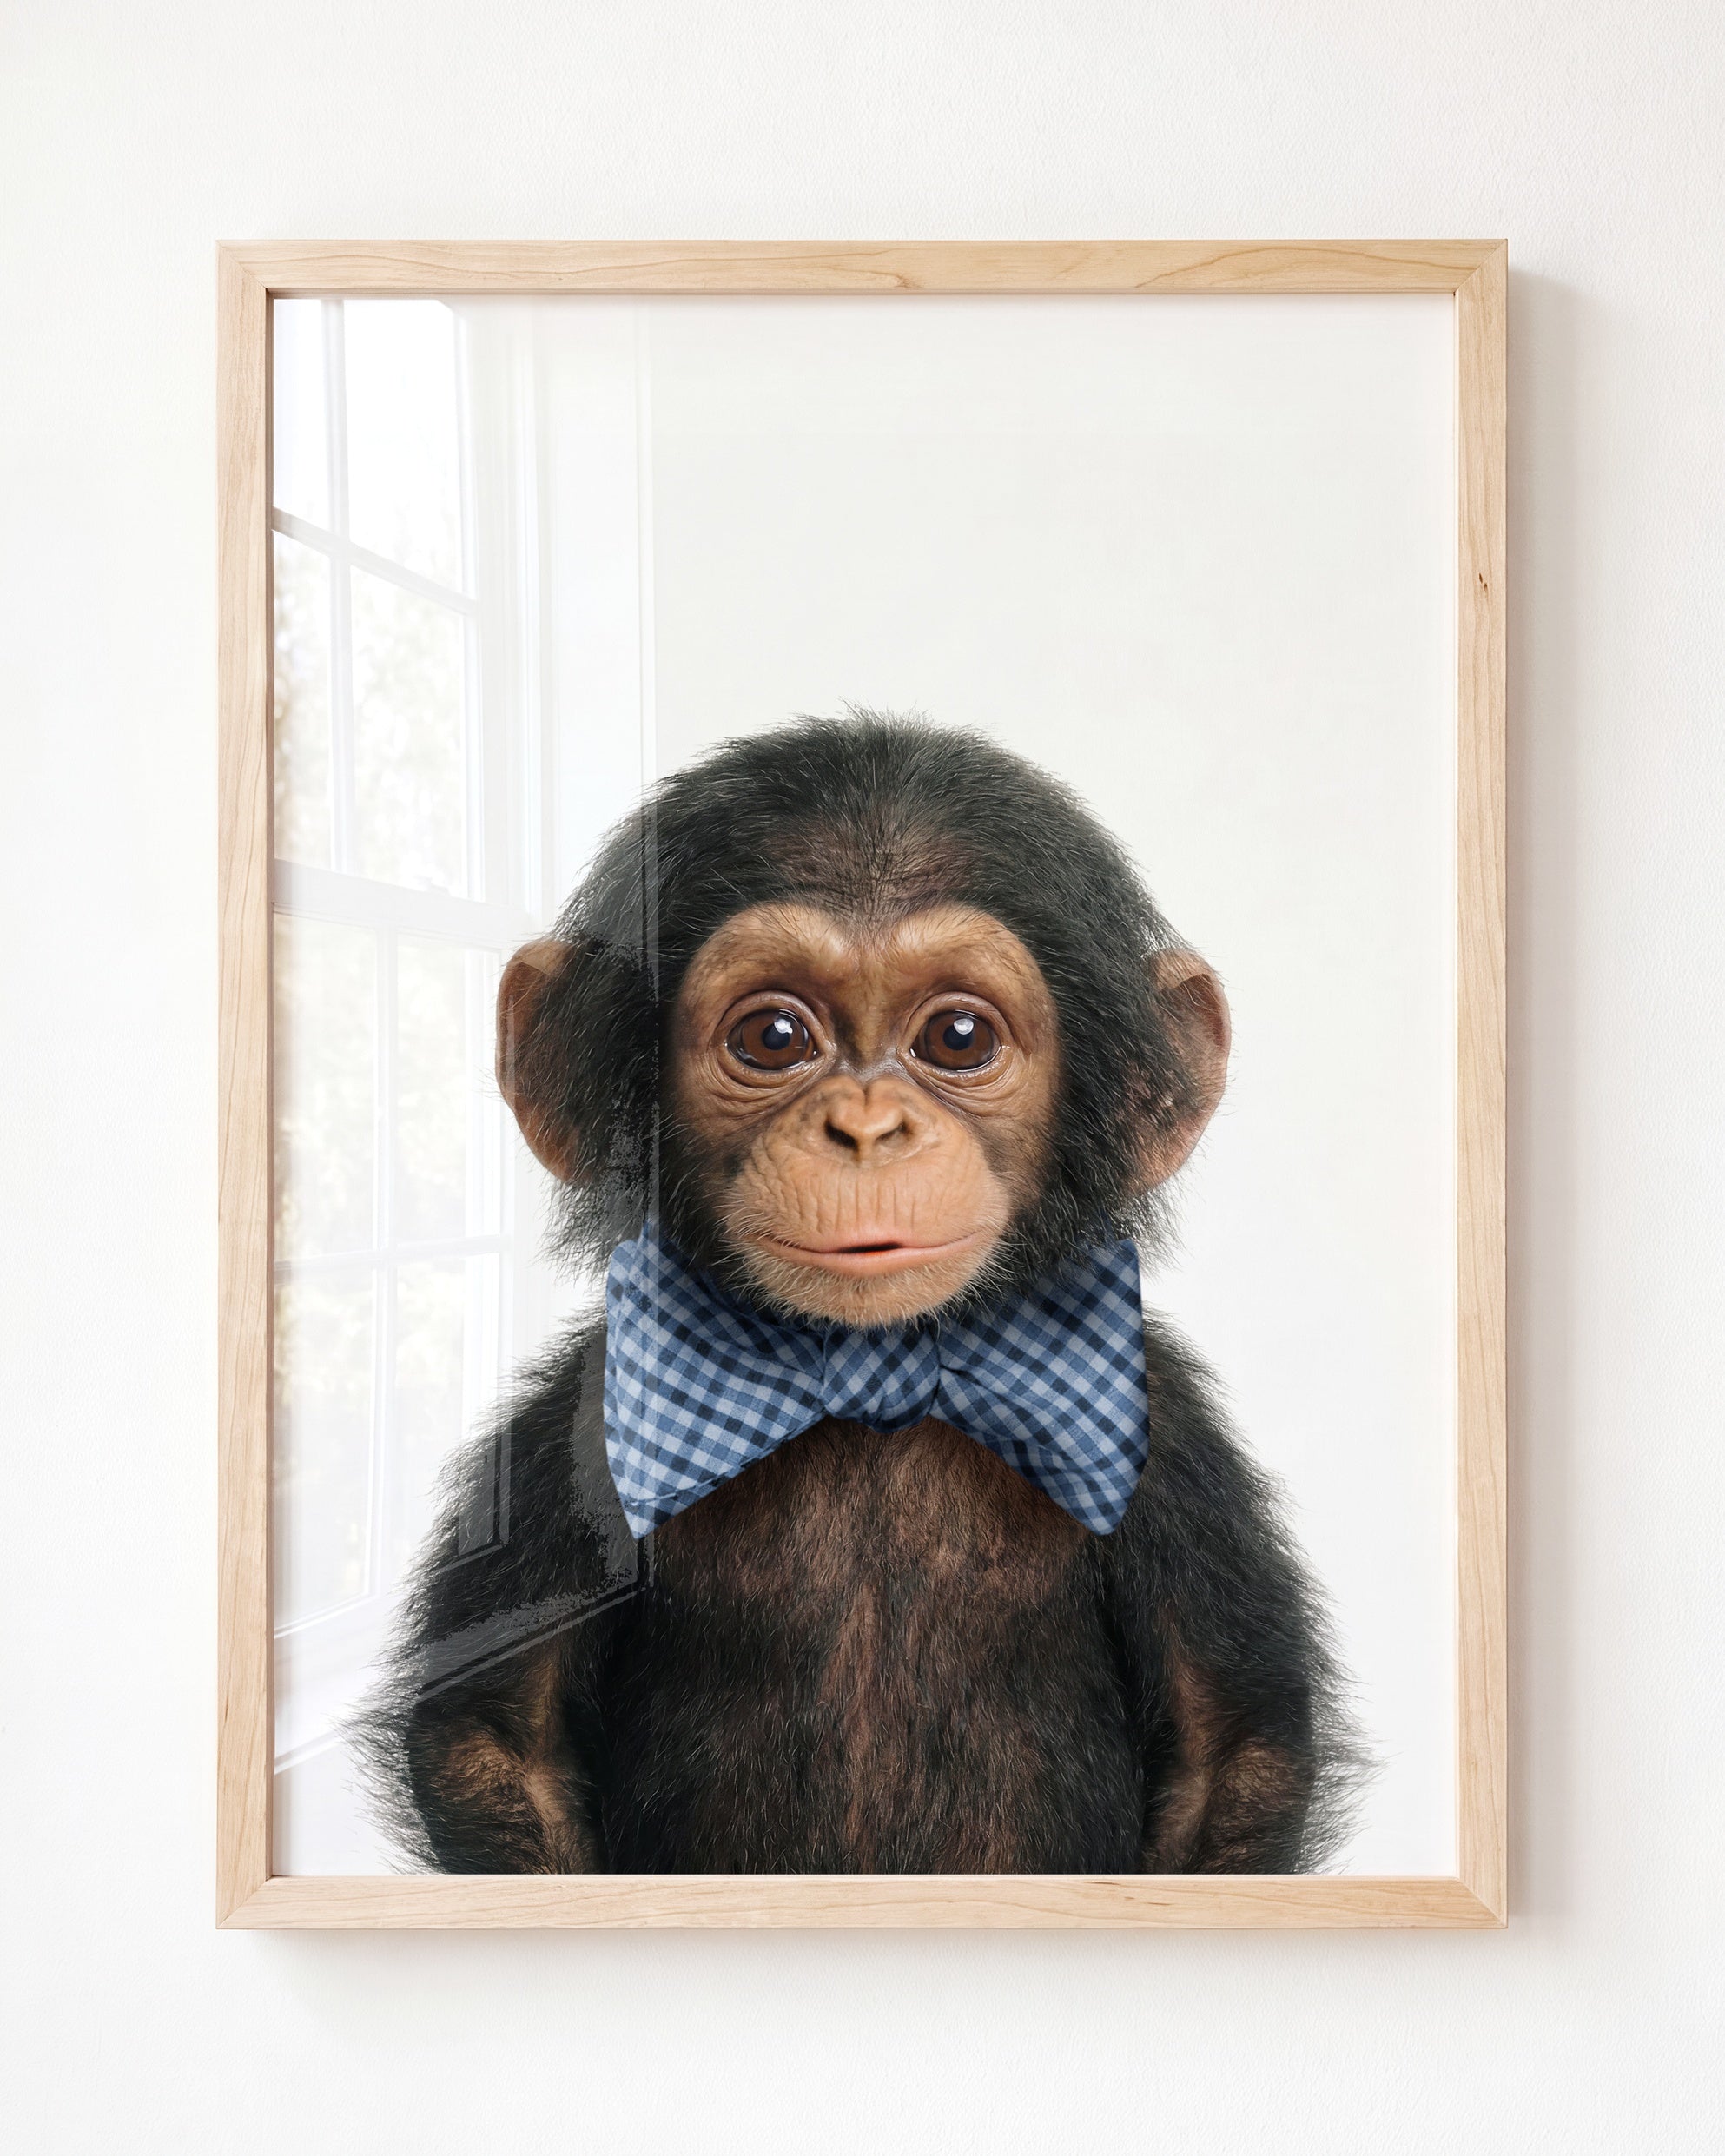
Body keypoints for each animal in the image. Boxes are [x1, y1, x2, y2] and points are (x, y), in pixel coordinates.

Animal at [360, 713, 1364, 1874]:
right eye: (773, 1037)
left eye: (958, 1038)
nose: (868, 1127)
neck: (870, 1374)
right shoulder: (577, 1416)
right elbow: (497, 1736)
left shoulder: (1171, 1441)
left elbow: (1229, 1747)